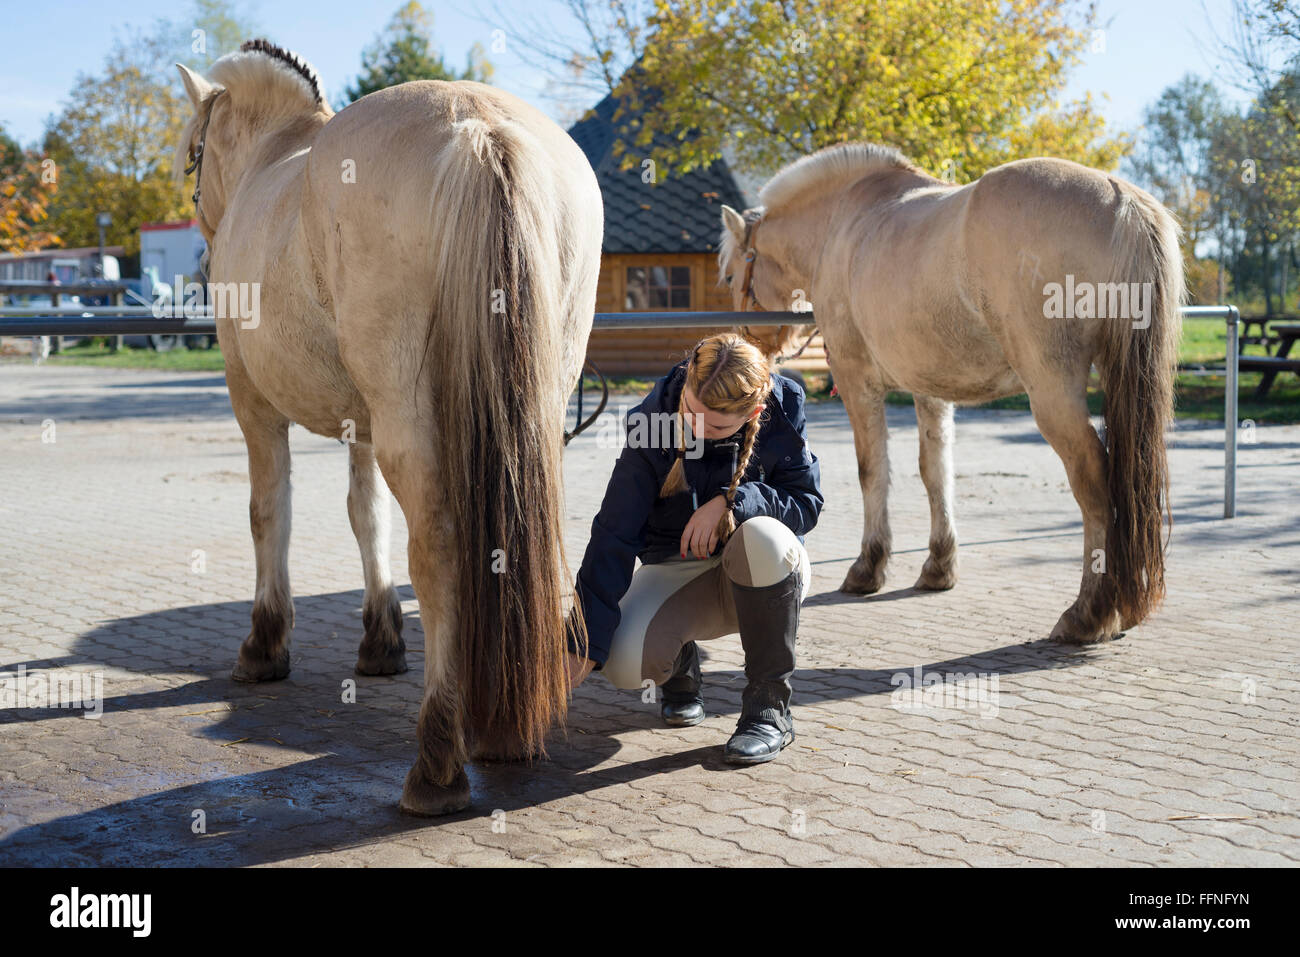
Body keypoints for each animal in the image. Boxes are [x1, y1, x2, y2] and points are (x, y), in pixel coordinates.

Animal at [178, 39, 603, 816]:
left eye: (195, 153)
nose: (200, 254)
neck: (273, 158)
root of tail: (478, 125)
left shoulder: (252, 401)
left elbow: (268, 513)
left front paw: (265, 644)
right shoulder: (363, 421)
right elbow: (363, 515)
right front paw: (380, 641)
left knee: (437, 549)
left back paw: (437, 760)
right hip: (535, 406)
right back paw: (505, 727)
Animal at [722, 143, 1180, 642]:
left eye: (728, 278)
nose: (749, 349)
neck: (843, 220)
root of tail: (1123, 201)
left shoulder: (859, 381)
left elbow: (872, 471)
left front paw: (868, 567)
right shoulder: (930, 389)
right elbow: (935, 472)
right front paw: (939, 566)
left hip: (1053, 392)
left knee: (1094, 482)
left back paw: (1089, 612)